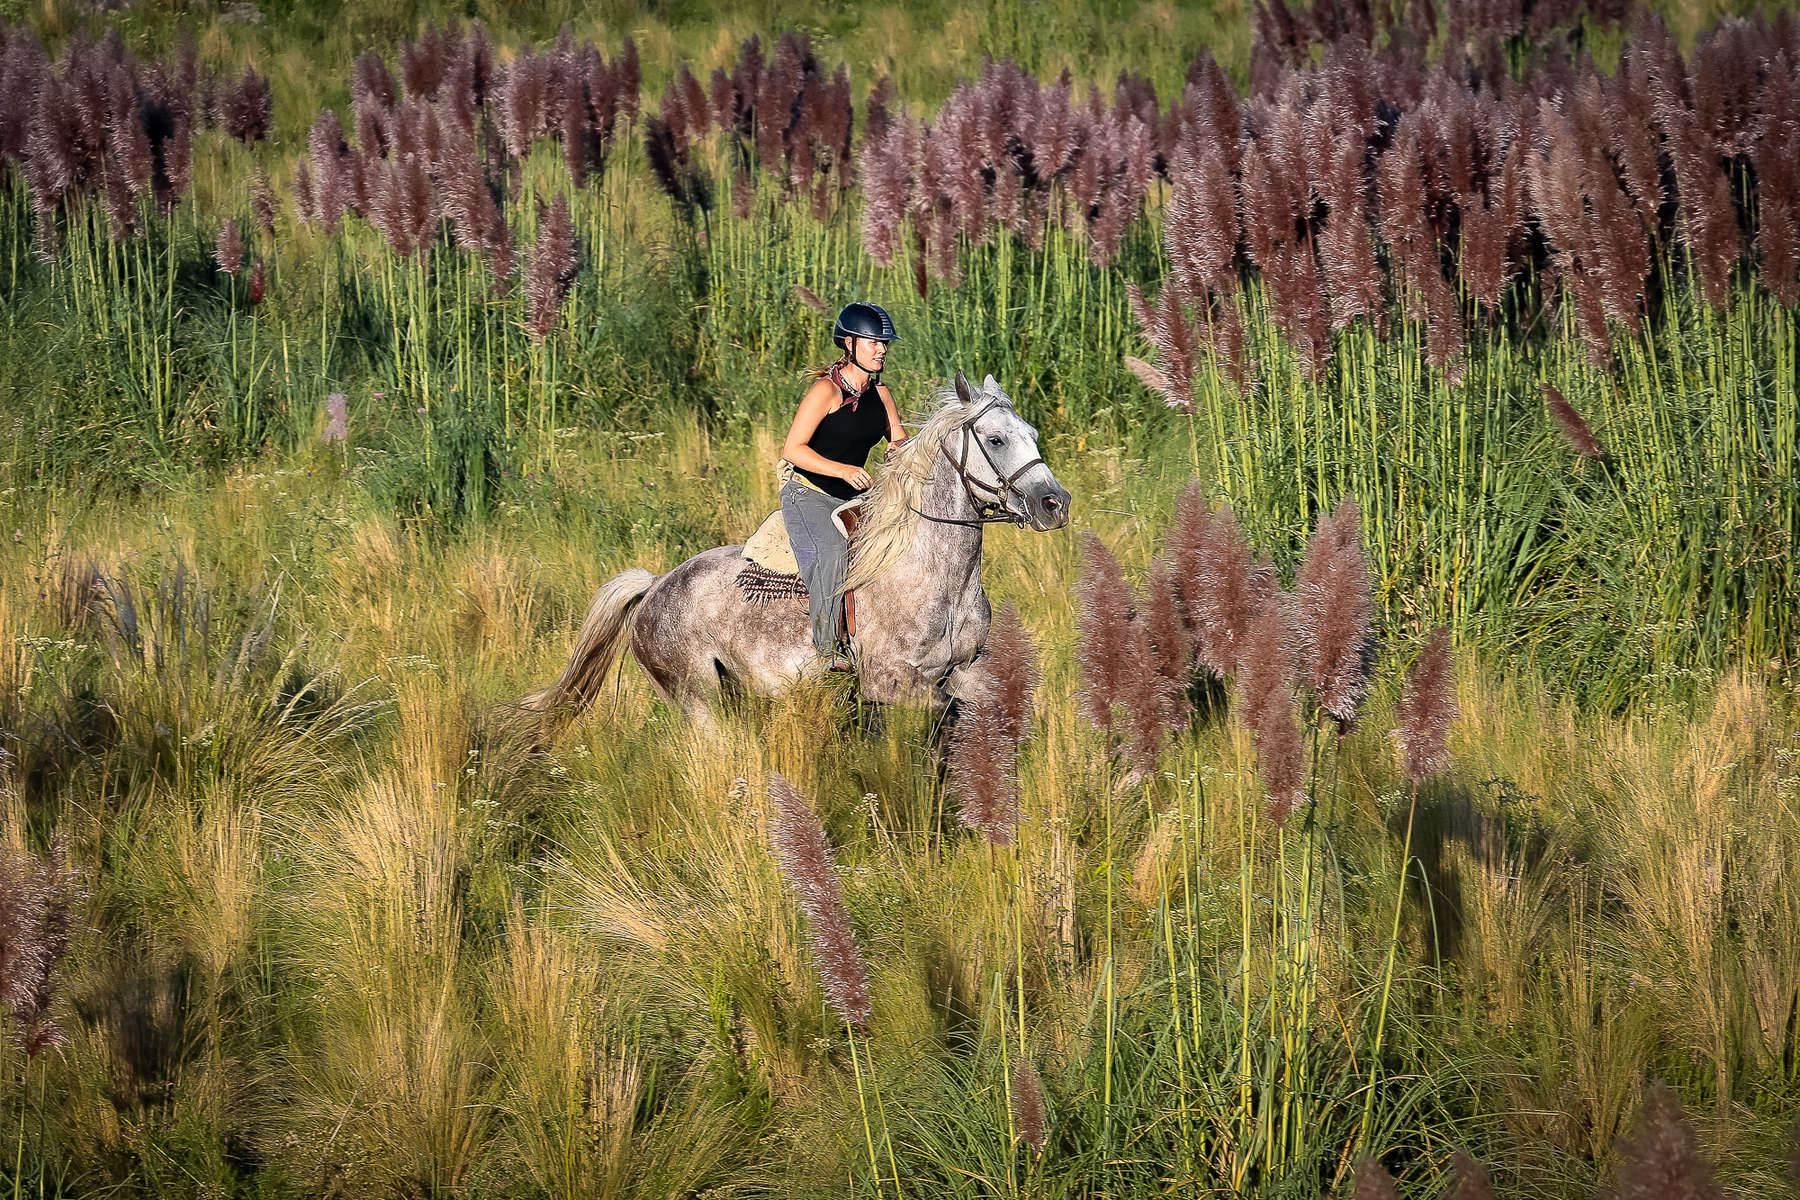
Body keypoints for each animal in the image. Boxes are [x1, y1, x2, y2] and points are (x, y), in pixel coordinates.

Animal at [525, 372, 1072, 734]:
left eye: (1033, 435)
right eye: (996, 439)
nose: (1055, 503)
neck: (933, 572)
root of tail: (653, 587)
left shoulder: (966, 671)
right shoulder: (891, 683)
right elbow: (942, 721)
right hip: (698, 702)